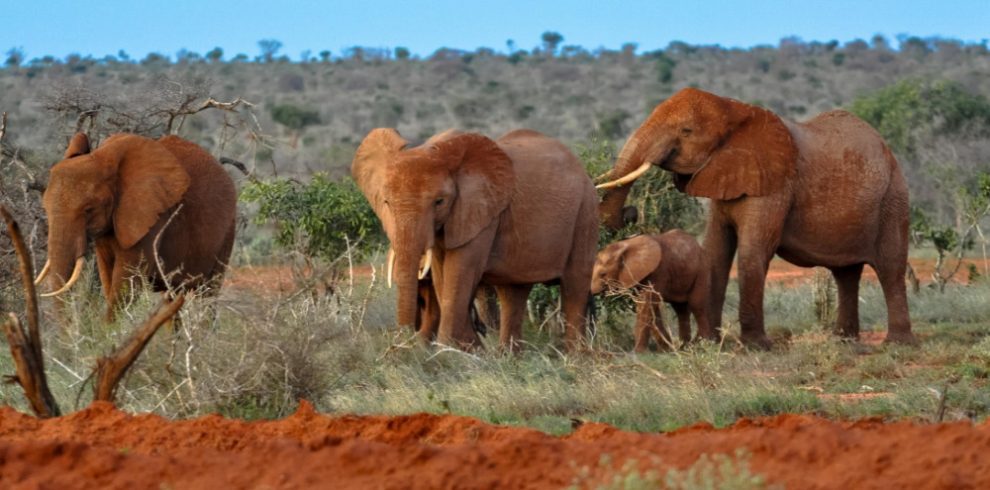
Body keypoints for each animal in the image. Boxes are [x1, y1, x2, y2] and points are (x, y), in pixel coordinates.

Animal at [37, 134, 240, 318]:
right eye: (45, 207)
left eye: (88, 209)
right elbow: (108, 278)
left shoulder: (151, 219)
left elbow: (125, 285)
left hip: (228, 231)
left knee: (208, 295)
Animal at [352, 126, 596, 348]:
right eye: (386, 203)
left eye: (439, 202)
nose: (402, 344)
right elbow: (442, 277)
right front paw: (468, 349)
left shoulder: (482, 212)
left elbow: (459, 271)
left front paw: (448, 351)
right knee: (513, 292)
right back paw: (508, 358)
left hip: (585, 211)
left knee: (575, 286)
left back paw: (575, 358)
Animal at [596, 88, 916, 348]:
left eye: (686, 131)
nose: (630, 214)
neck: (734, 110)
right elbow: (716, 250)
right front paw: (708, 343)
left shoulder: (776, 185)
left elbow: (753, 250)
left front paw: (753, 346)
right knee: (846, 274)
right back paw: (843, 341)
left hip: (894, 198)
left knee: (890, 268)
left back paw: (897, 344)